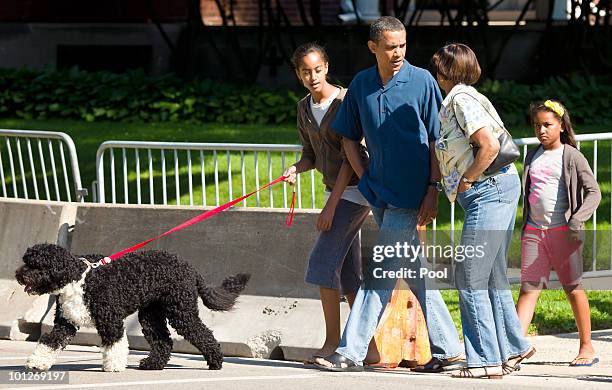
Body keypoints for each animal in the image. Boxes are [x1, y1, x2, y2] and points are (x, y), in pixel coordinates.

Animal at [14, 244, 249, 372]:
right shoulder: (65, 324)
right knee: (163, 341)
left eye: (36, 265)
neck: (79, 278)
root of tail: (190, 268)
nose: (18, 274)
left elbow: (114, 344)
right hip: (151, 315)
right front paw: (37, 363)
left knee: (203, 334)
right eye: (25, 261)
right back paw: (152, 364)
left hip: (181, 312)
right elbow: (49, 342)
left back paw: (215, 361)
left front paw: (114, 366)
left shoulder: (110, 320)